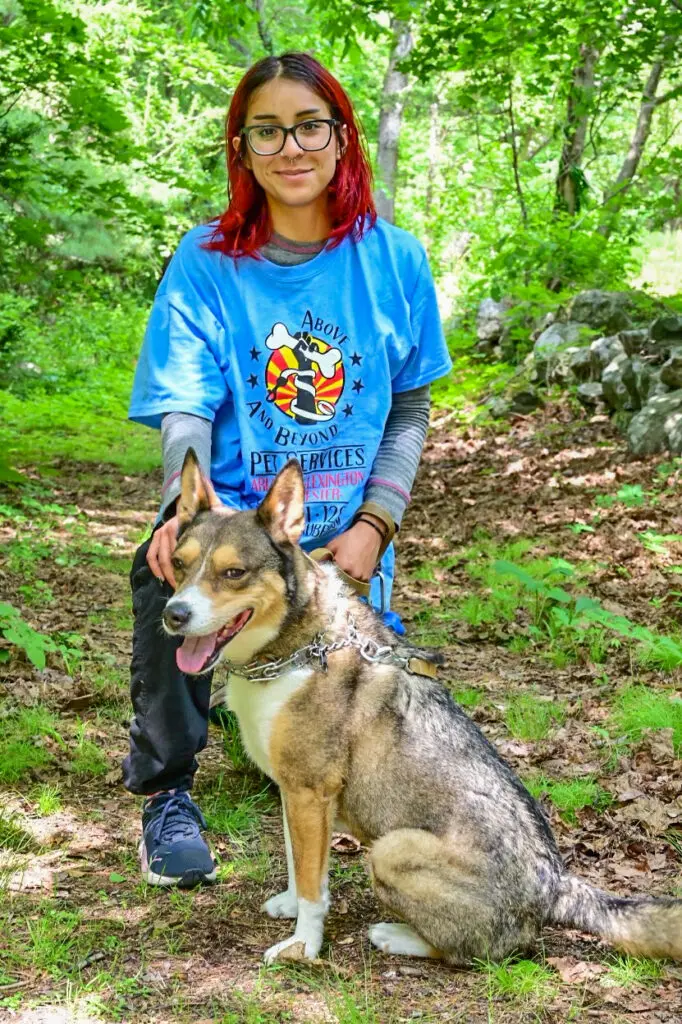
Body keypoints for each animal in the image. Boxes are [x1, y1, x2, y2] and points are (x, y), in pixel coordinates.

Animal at [160, 450, 679, 966]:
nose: (173, 615)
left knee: (471, 951)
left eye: (233, 573)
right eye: (179, 565)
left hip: (391, 849)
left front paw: (302, 945)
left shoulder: (309, 792)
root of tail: (555, 888)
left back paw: (395, 936)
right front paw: (290, 906)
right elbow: (300, 865)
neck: (299, 649)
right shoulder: (295, 793)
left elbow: (312, 887)